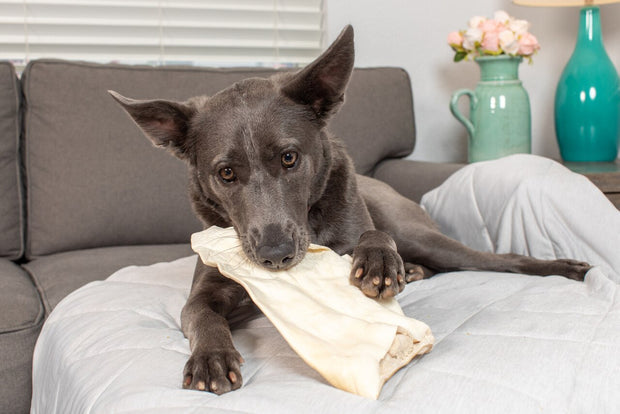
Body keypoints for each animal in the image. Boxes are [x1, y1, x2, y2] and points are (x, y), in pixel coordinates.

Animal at [109, 25, 588, 394]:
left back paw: (561, 267)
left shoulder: (353, 228)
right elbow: (201, 314)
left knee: (494, 258)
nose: (275, 256)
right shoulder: (205, 290)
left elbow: (370, 234)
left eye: (289, 158)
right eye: (226, 173)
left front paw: (377, 261)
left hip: (421, 233)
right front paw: (211, 357)